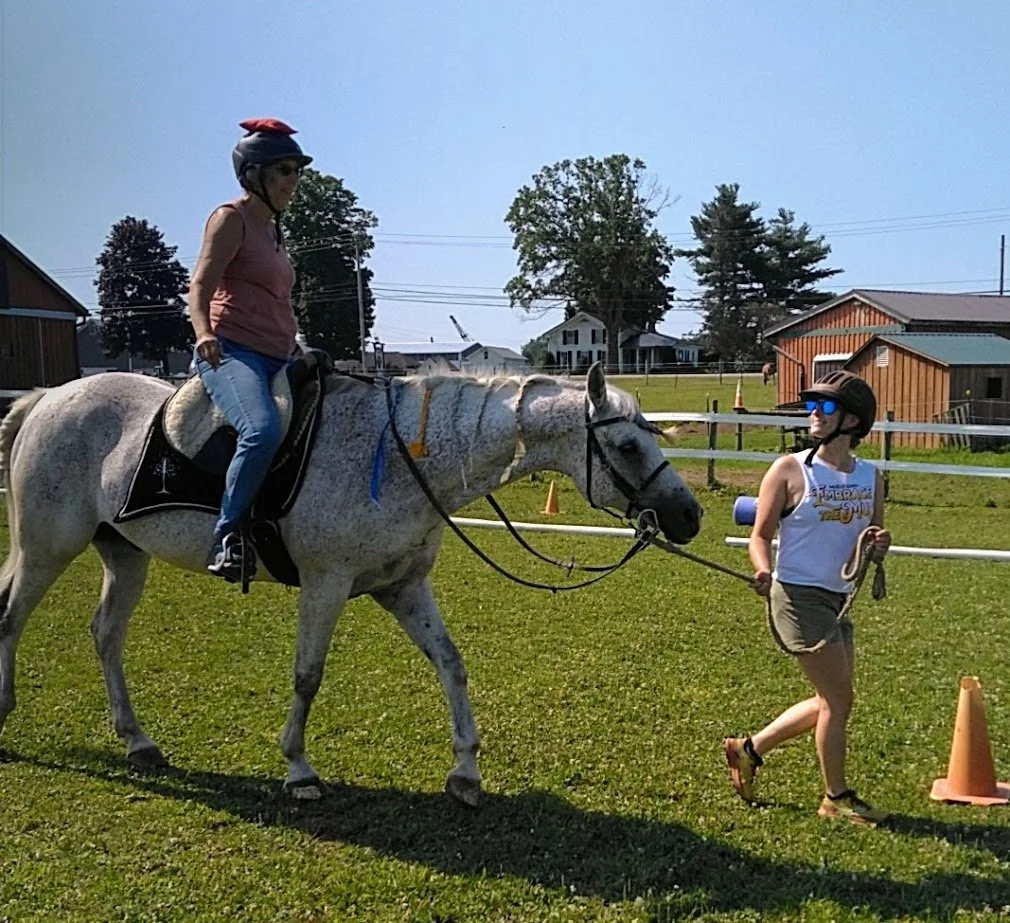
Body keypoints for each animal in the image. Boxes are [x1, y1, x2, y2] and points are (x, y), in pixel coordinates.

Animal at [0, 362, 702, 805]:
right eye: (630, 448)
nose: (689, 516)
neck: (396, 458)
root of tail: (48, 398)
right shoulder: (326, 584)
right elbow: (307, 676)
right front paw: (298, 769)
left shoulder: (402, 587)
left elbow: (452, 663)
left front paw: (466, 771)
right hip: (46, 547)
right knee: (12, 618)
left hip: (124, 554)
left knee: (105, 634)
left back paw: (137, 739)